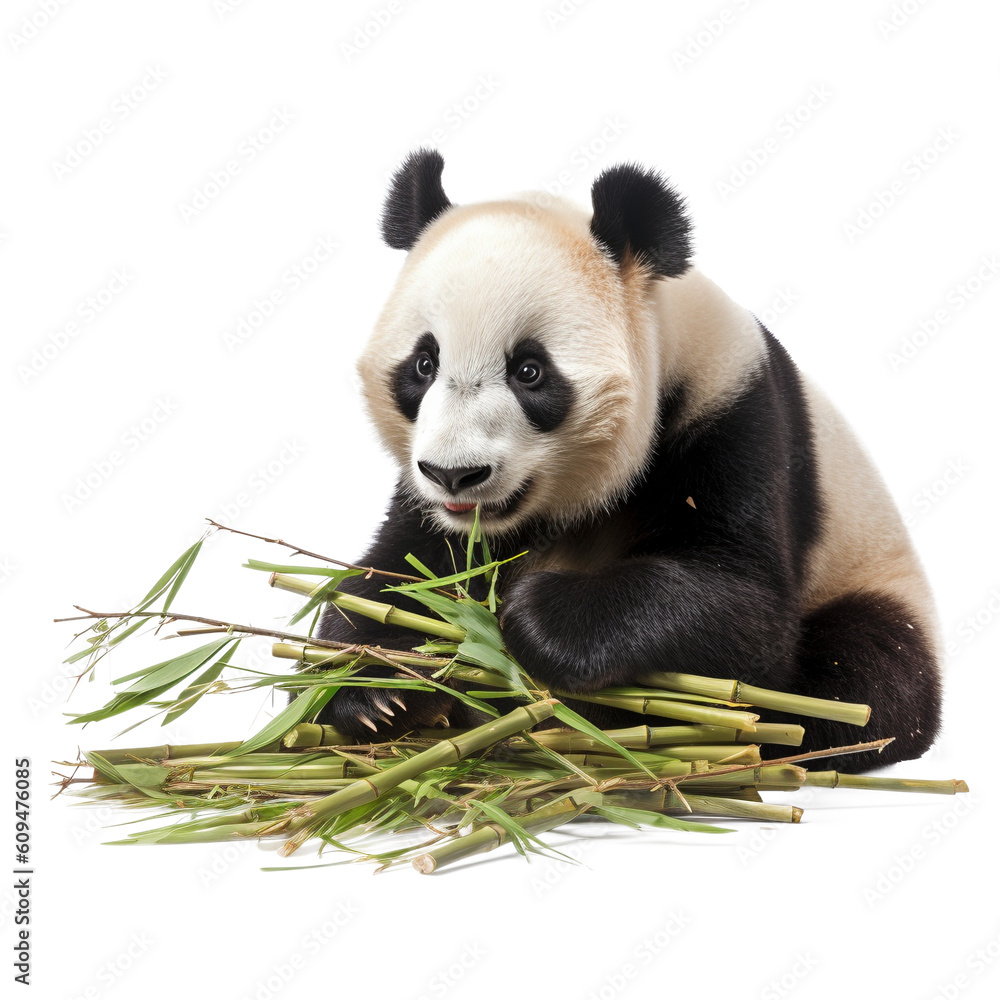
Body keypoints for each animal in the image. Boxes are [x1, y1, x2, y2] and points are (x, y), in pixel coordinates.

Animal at [314, 148, 942, 772]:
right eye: (424, 364)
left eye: (529, 371)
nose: (455, 474)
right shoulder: (426, 500)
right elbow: (394, 572)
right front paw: (379, 692)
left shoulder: (735, 415)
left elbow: (742, 606)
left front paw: (538, 621)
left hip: (871, 578)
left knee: (863, 677)